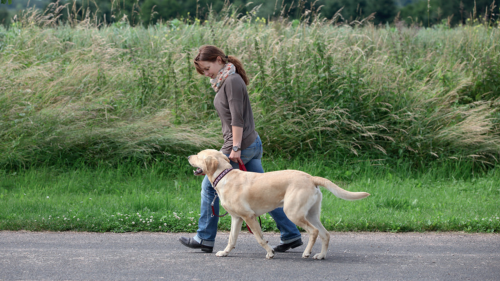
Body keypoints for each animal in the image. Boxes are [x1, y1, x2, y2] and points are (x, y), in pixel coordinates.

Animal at [189, 149, 370, 258]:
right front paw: (225, 252)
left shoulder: (249, 217)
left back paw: (306, 253)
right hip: (311, 214)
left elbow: (260, 238)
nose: (189, 157)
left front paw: (270, 253)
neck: (224, 175)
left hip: (293, 213)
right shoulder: (237, 218)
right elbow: (231, 239)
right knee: (325, 234)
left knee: (314, 232)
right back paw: (321, 255)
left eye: (198, 155)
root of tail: (310, 177)